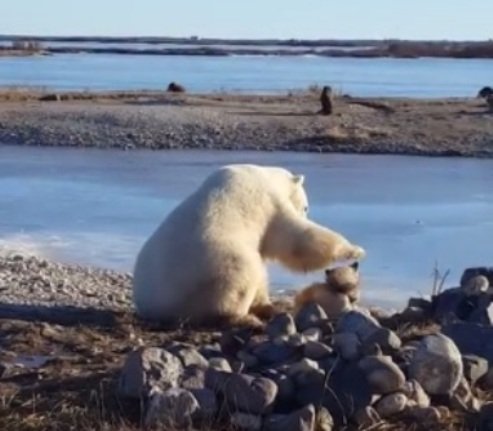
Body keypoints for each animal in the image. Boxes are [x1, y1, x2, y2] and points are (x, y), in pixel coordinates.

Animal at [133, 165, 364, 328]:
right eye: (306, 206)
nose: (305, 211)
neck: (266, 175)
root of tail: (155, 306)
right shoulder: (268, 202)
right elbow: (294, 238)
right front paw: (355, 250)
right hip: (214, 265)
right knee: (242, 275)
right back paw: (245, 318)